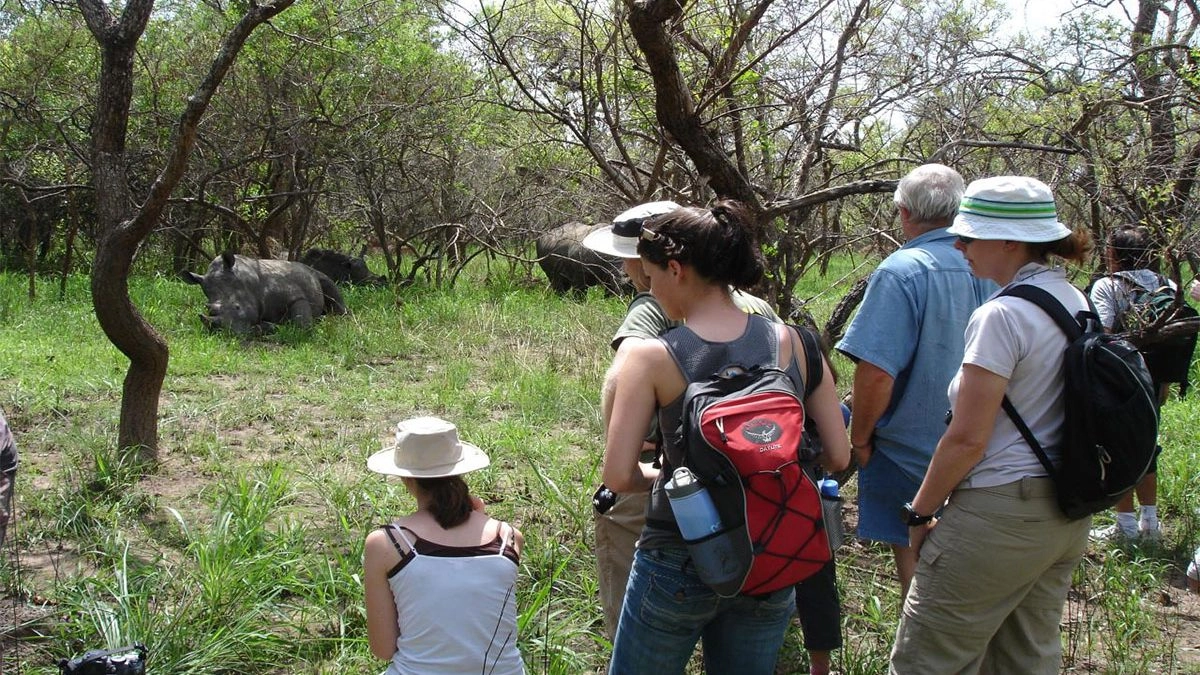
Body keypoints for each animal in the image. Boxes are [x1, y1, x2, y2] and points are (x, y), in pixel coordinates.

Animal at [182, 252, 347, 334]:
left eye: (237, 307)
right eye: (208, 309)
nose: (225, 333)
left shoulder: (294, 294)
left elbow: (301, 326)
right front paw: (264, 327)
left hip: (313, 273)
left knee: (328, 284)